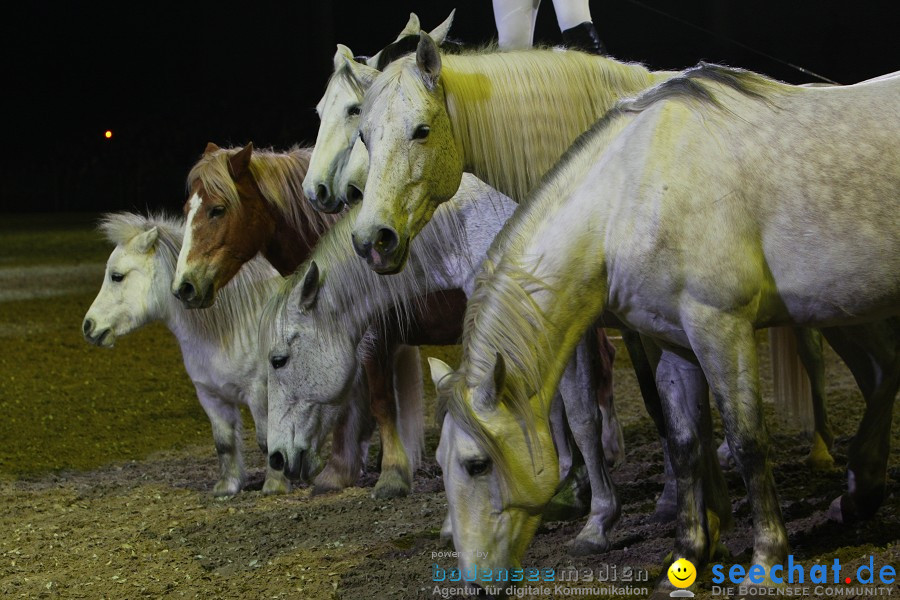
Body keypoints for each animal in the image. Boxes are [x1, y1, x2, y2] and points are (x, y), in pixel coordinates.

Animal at [83, 214, 290, 496]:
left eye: (117, 276)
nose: (88, 326)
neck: (231, 325)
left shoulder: (260, 393)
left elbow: (268, 440)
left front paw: (274, 485)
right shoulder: (210, 396)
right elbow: (224, 442)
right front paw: (227, 487)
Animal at [428, 67, 900, 592]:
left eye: (477, 464)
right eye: (440, 464)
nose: (473, 581)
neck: (630, 195)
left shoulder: (721, 328)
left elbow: (747, 441)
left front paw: (765, 562)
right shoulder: (678, 343)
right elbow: (684, 442)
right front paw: (687, 557)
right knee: (884, 371)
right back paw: (858, 492)